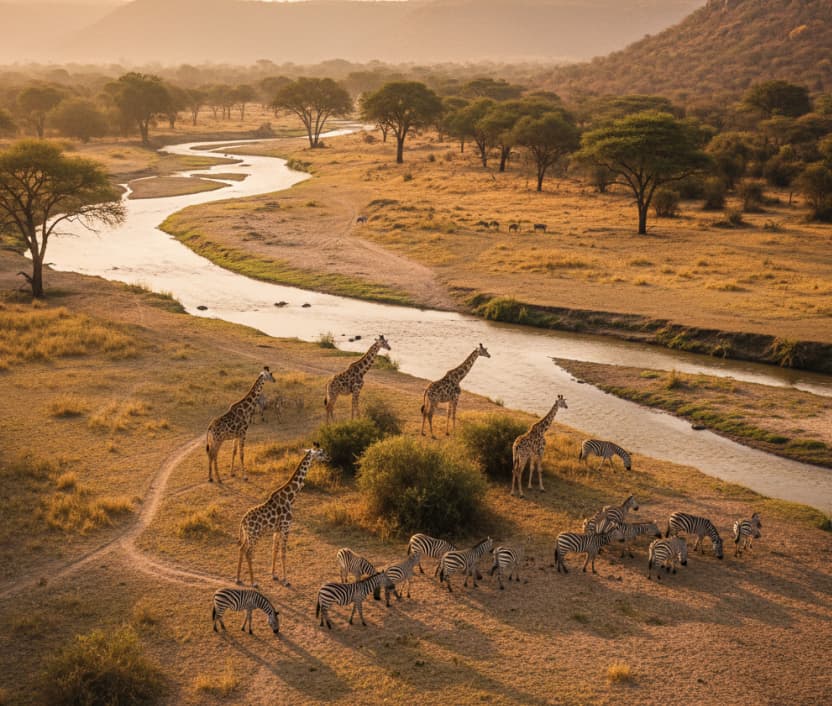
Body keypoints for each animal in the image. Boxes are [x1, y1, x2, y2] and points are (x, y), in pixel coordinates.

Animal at [236, 445, 328, 587]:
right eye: (320, 453)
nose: (328, 458)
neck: (291, 498)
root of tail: (242, 522)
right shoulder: (286, 527)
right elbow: (283, 553)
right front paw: (286, 580)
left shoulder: (277, 530)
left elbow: (274, 551)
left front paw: (274, 575)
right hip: (255, 535)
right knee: (248, 552)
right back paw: (254, 582)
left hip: (247, 535)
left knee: (241, 549)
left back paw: (238, 578)